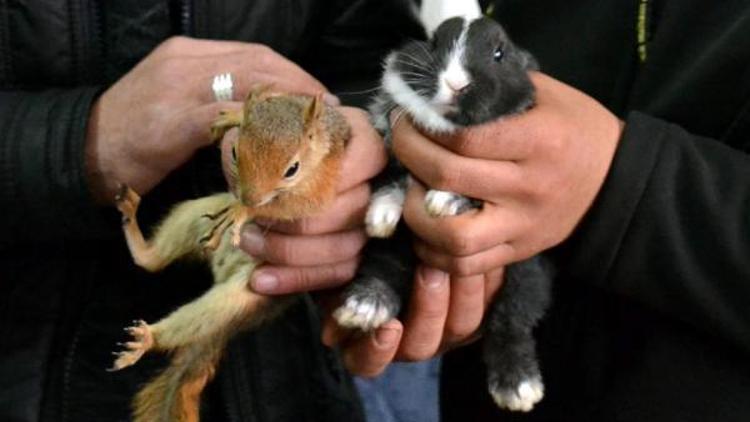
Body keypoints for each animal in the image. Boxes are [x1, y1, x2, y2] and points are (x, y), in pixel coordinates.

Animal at [110, 85, 352, 422]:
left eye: (292, 169)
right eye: (235, 152)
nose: (248, 198)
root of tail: (220, 268)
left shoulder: (325, 184)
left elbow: (296, 206)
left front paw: (244, 210)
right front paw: (233, 115)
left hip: (237, 300)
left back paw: (148, 338)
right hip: (194, 214)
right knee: (152, 260)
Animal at [338, 16, 556, 412]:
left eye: (499, 53)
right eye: (434, 42)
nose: (456, 83)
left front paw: (443, 202)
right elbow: (392, 182)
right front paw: (380, 217)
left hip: (524, 271)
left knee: (513, 318)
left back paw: (518, 387)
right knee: (384, 266)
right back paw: (363, 308)